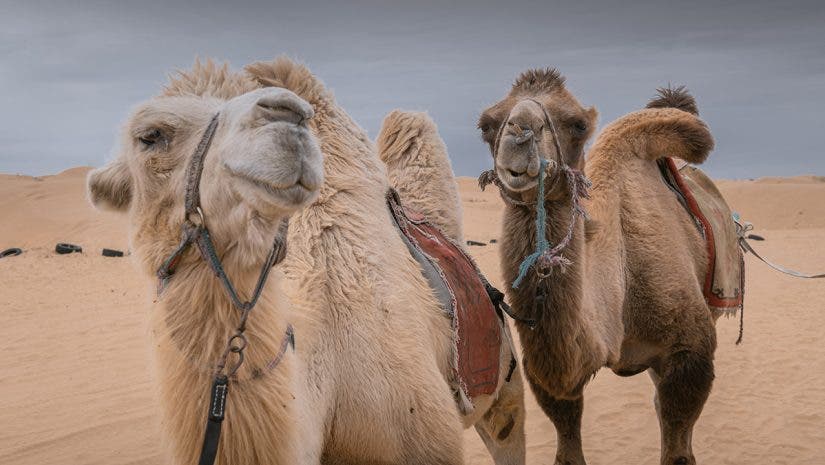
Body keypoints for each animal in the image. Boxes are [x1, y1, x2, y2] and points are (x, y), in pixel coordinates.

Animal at [476, 70, 720, 465]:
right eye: (486, 125)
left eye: (577, 124)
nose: (520, 134)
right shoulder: (551, 378)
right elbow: (567, 443)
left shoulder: (691, 353)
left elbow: (678, 452)